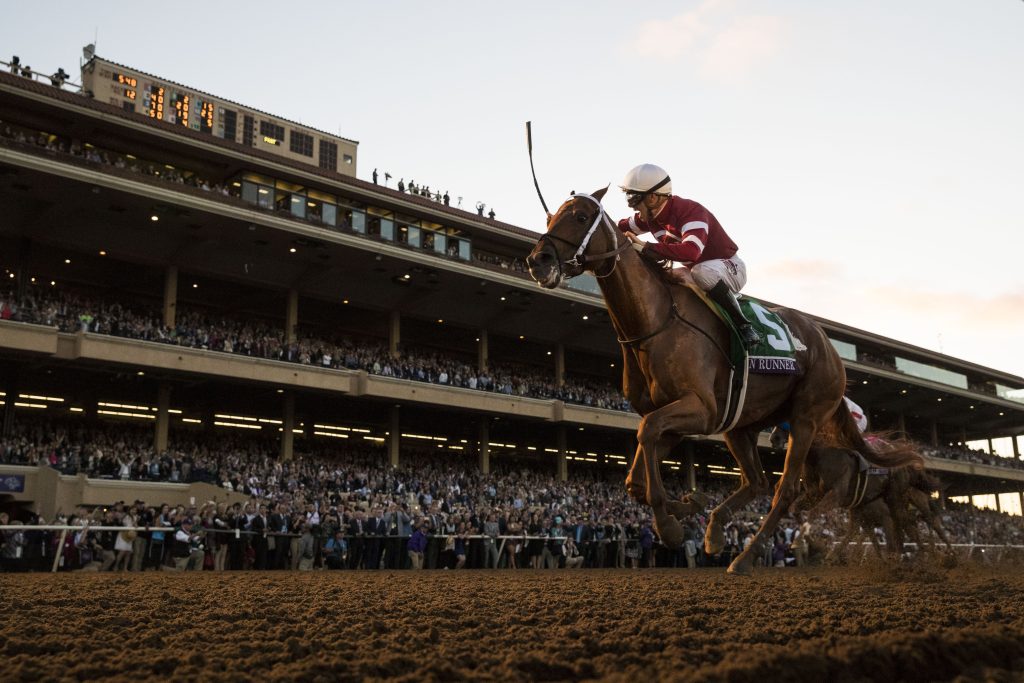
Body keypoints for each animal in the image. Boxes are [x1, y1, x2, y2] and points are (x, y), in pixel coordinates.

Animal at [524, 188, 925, 577]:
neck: (656, 321)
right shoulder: (675, 416)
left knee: (785, 490)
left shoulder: (700, 409)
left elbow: (647, 435)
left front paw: (670, 525)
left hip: (806, 419)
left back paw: (745, 557)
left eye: (580, 217)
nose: (538, 260)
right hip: (741, 425)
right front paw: (688, 506)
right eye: (550, 217)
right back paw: (717, 531)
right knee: (758, 481)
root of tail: (827, 346)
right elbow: (636, 475)